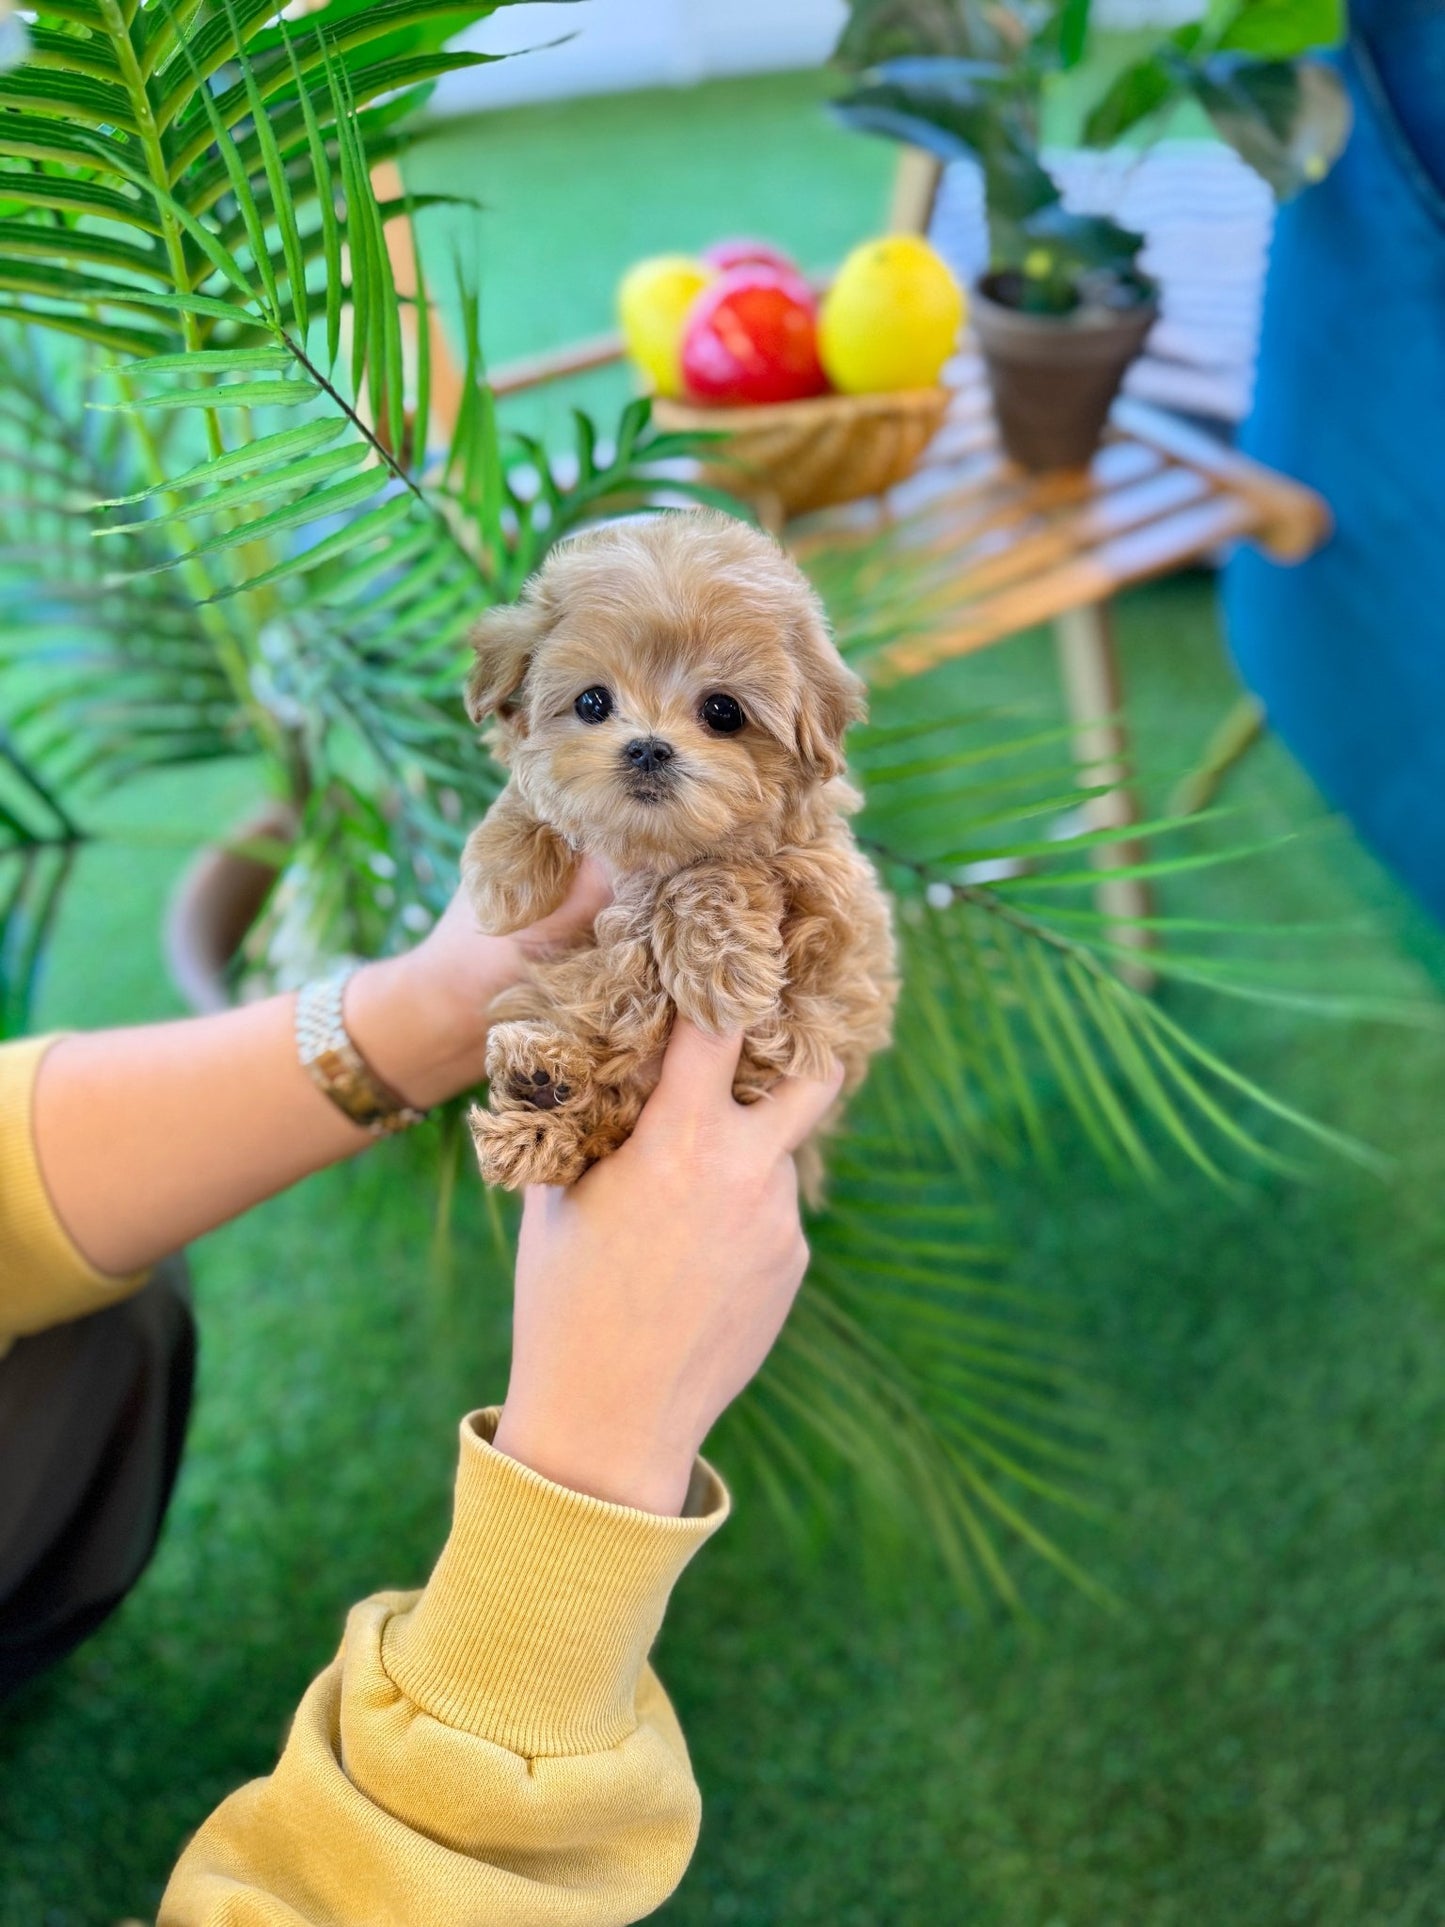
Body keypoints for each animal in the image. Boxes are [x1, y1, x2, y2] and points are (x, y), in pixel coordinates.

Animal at [464, 504, 901, 1194]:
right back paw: (537, 1094)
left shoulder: (831, 907)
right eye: (592, 701)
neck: (649, 851)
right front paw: (502, 872)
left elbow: (722, 867)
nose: (648, 747)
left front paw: (720, 967)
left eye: (723, 711)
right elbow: (529, 793)